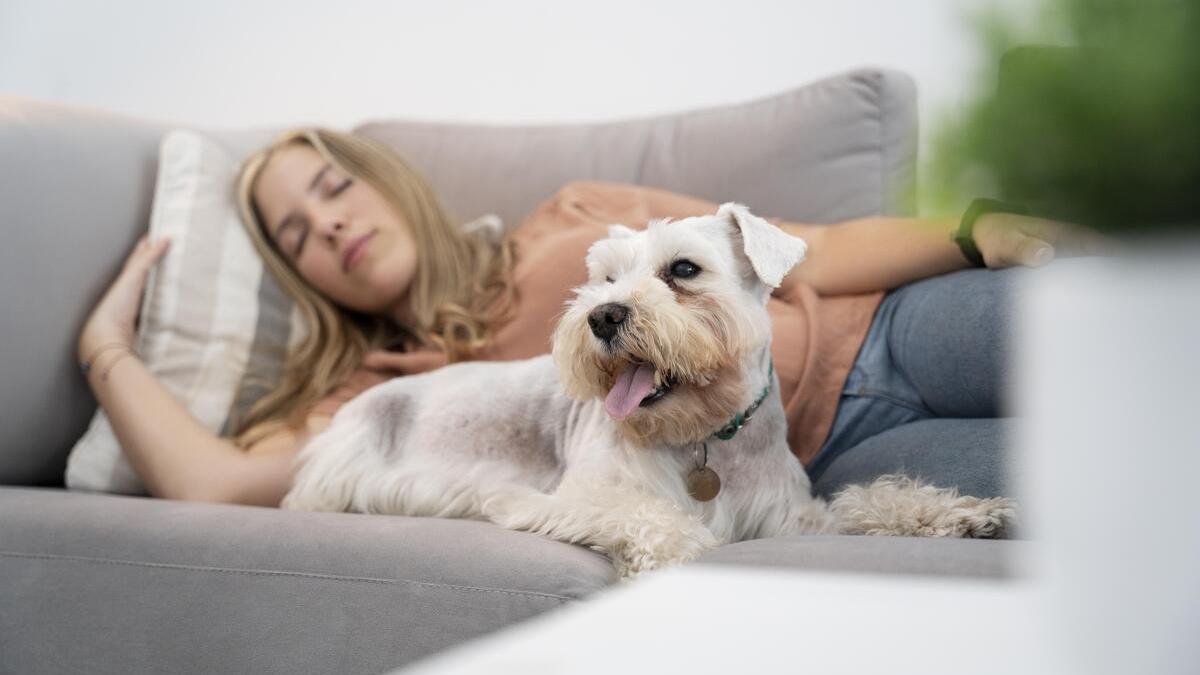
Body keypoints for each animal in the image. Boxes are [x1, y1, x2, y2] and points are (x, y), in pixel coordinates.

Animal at [285, 201, 1017, 576]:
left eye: (684, 269)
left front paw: (965, 514)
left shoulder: (794, 517)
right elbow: (657, 519)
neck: (705, 437)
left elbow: (872, 500)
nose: (603, 316)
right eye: (605, 279)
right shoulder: (572, 498)